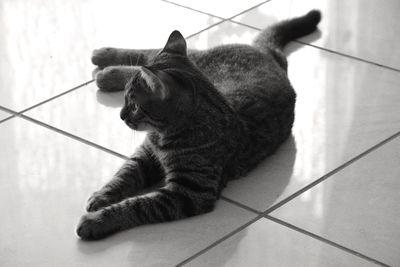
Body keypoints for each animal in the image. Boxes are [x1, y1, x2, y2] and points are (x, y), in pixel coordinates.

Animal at [77, 9, 322, 241]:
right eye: (127, 102)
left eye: (134, 105)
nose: (121, 115)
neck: (162, 136)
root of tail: (269, 55)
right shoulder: (145, 156)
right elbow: (123, 176)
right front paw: (102, 195)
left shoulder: (188, 192)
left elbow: (136, 206)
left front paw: (97, 221)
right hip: (193, 57)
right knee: (144, 57)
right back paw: (104, 59)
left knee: (142, 62)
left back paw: (106, 72)